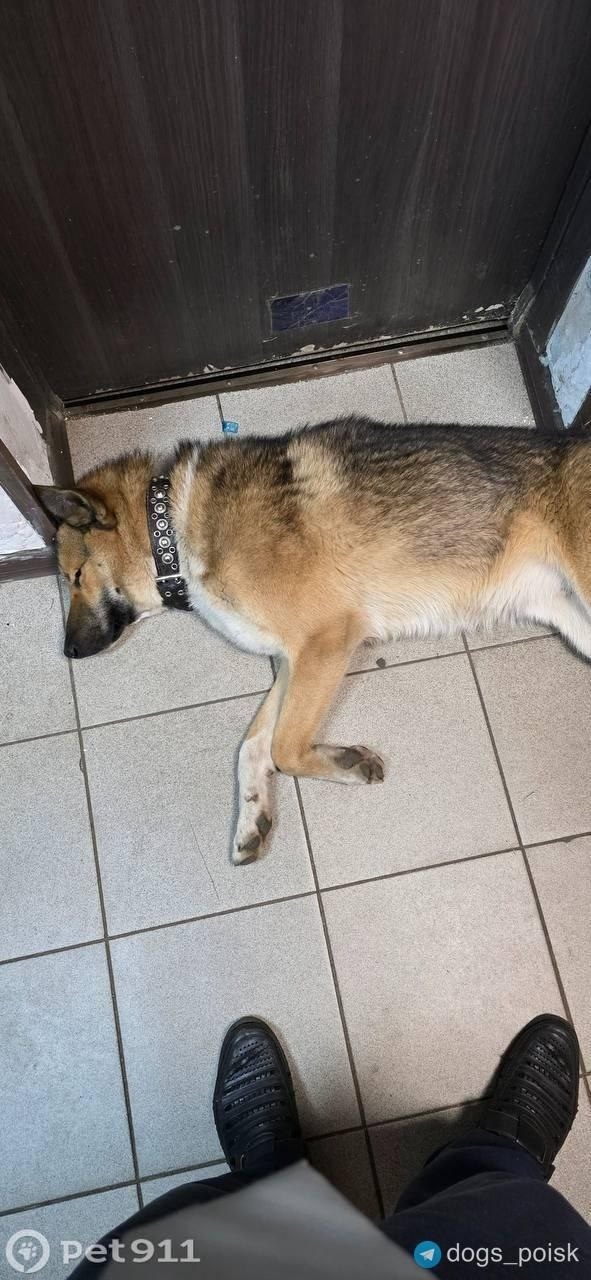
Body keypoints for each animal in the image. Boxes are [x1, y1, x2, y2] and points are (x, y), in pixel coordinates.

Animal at [39, 415, 591, 864]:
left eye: (75, 576)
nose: (67, 653)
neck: (171, 524)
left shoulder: (325, 644)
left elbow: (284, 747)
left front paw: (346, 764)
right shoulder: (294, 659)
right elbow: (252, 746)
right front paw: (252, 817)